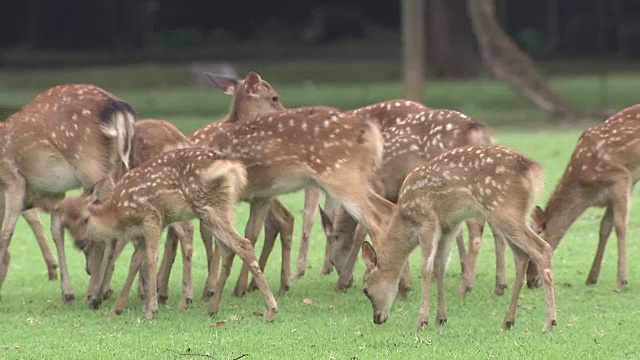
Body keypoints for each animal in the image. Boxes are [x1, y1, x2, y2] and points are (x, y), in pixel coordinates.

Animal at [0, 83, 134, 304]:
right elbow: (57, 233)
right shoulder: (55, 193)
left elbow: (6, 233)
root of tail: (118, 108)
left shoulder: (13, 179)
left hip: (90, 162)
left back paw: (96, 293)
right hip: (118, 164)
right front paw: (67, 293)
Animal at [58, 149, 268, 320]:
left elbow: (151, 258)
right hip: (224, 208)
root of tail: (232, 167)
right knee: (230, 249)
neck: (119, 213)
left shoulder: (152, 217)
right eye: (66, 224)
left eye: (85, 218)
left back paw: (270, 310)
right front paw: (117, 308)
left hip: (208, 207)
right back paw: (213, 308)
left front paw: (151, 309)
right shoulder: (140, 233)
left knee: (242, 244)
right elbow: (135, 263)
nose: (79, 243)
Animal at [362, 145, 556, 334]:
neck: (404, 220)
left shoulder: (426, 220)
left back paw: (549, 322)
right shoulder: (449, 226)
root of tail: (534, 171)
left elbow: (426, 268)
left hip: (504, 209)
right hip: (510, 215)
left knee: (542, 248)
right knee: (522, 256)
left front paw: (421, 322)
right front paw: (440, 318)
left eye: (366, 290)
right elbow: (440, 266)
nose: (377, 318)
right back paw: (508, 321)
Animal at [528, 103, 640, 292]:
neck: (587, 193)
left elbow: (620, 226)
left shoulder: (622, 178)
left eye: (536, 240)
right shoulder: (615, 191)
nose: (529, 282)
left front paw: (621, 282)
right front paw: (591, 278)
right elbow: (604, 227)